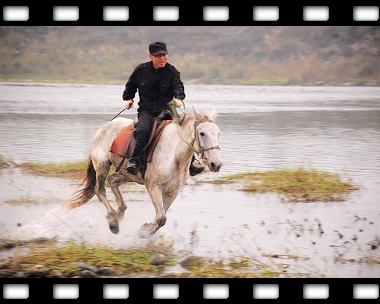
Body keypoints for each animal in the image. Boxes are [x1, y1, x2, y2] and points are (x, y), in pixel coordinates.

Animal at [62, 106, 223, 238]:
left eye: (218, 133)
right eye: (202, 133)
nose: (216, 164)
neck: (174, 154)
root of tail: (102, 128)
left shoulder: (173, 191)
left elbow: (162, 217)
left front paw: (146, 229)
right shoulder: (154, 187)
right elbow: (161, 218)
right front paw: (144, 232)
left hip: (128, 174)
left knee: (113, 180)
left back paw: (120, 212)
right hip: (102, 166)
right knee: (99, 190)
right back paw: (113, 221)